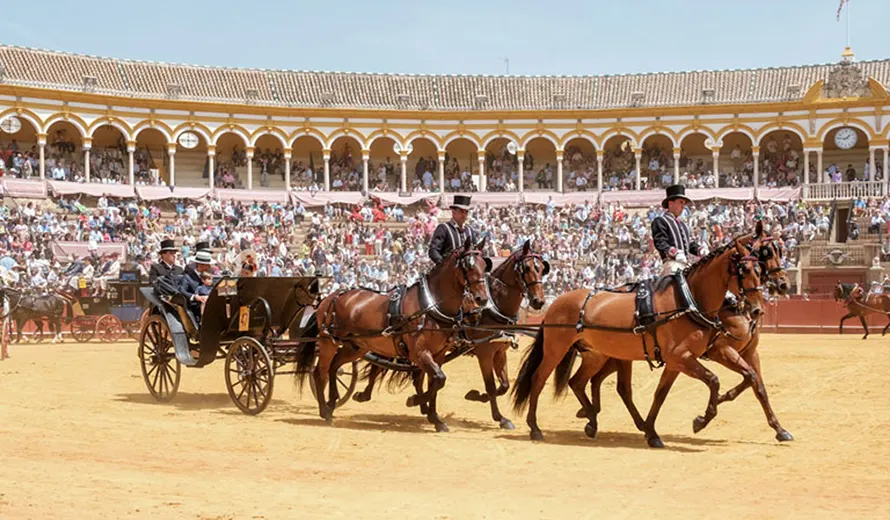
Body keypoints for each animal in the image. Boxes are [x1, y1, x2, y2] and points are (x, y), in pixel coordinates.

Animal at [298, 238, 492, 432]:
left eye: (484, 265)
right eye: (468, 265)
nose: (482, 299)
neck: (430, 306)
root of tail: (330, 296)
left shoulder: (438, 354)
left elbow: (435, 383)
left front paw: (436, 419)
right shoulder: (419, 353)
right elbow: (439, 378)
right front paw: (415, 400)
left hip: (355, 347)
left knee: (333, 367)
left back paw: (331, 403)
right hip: (328, 342)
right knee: (319, 372)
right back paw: (325, 411)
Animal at [348, 240, 544, 430]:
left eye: (542, 268)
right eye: (527, 268)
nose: (539, 301)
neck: (494, 306)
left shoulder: (499, 352)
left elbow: (503, 385)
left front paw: (482, 401)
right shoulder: (484, 353)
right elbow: (490, 386)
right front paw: (495, 413)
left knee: (416, 377)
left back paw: (423, 407)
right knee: (380, 366)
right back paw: (367, 395)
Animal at [512, 234, 756, 448]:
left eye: (760, 267)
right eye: (745, 269)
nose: (755, 308)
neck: (687, 300)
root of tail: (555, 303)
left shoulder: (678, 361)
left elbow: (661, 394)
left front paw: (652, 432)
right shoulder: (681, 357)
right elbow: (713, 380)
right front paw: (700, 421)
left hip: (595, 355)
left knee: (579, 382)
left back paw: (592, 419)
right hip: (556, 350)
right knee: (538, 379)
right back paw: (535, 428)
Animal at [568, 236, 792, 442]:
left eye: (760, 267)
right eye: (766, 253)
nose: (783, 284)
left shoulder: (749, 353)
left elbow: (756, 383)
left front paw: (779, 429)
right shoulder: (719, 351)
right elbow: (742, 380)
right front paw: (706, 415)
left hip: (616, 356)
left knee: (598, 381)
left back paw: (591, 415)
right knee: (604, 384)